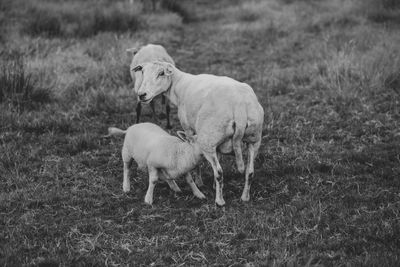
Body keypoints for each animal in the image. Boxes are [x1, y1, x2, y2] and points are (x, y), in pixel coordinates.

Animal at [130, 61, 266, 206]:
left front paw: (199, 181)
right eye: (142, 72)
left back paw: (219, 201)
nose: (141, 94)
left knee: (219, 173)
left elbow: (195, 155)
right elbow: (218, 155)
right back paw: (245, 197)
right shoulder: (216, 141)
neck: (179, 85)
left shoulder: (188, 129)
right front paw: (213, 185)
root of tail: (239, 107)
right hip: (254, 139)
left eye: (161, 73)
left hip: (208, 139)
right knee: (249, 172)